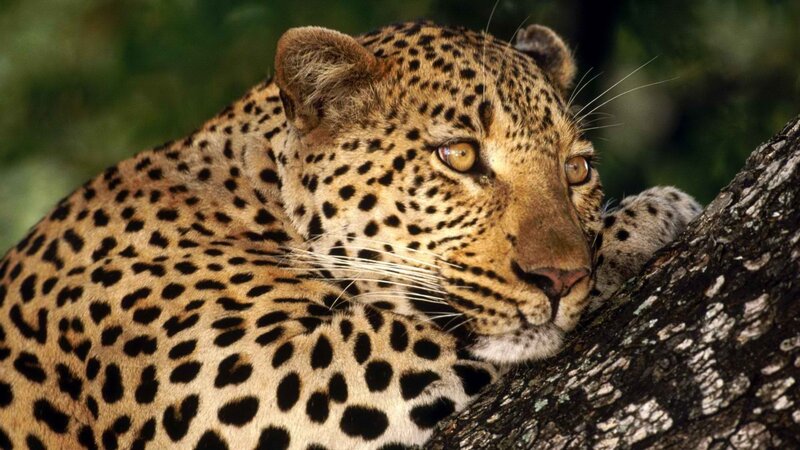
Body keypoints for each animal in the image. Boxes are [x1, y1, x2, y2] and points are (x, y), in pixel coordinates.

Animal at [0, 21, 701, 450]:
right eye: (459, 156)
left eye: (576, 169)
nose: (562, 278)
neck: (251, 190)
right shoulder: (258, 381)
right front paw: (651, 215)